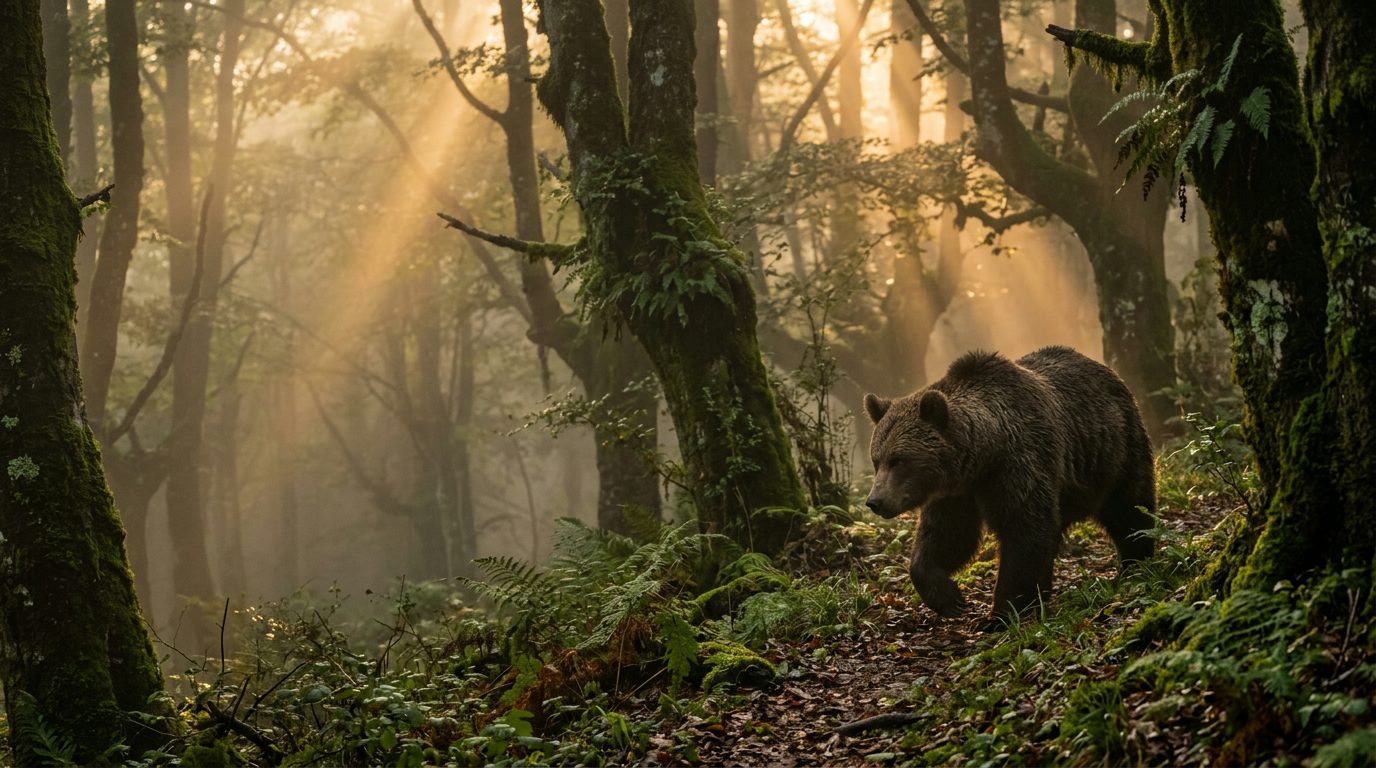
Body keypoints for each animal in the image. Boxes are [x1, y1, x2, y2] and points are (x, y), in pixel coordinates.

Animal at [863, 345, 1156, 624]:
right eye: (877, 460)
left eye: (899, 460)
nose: (875, 501)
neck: (984, 455)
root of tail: (1107, 371)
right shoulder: (957, 492)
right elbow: (947, 536)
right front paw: (949, 598)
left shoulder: (1018, 466)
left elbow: (1024, 531)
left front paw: (1002, 613)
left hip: (1116, 450)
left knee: (1129, 507)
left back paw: (1135, 562)